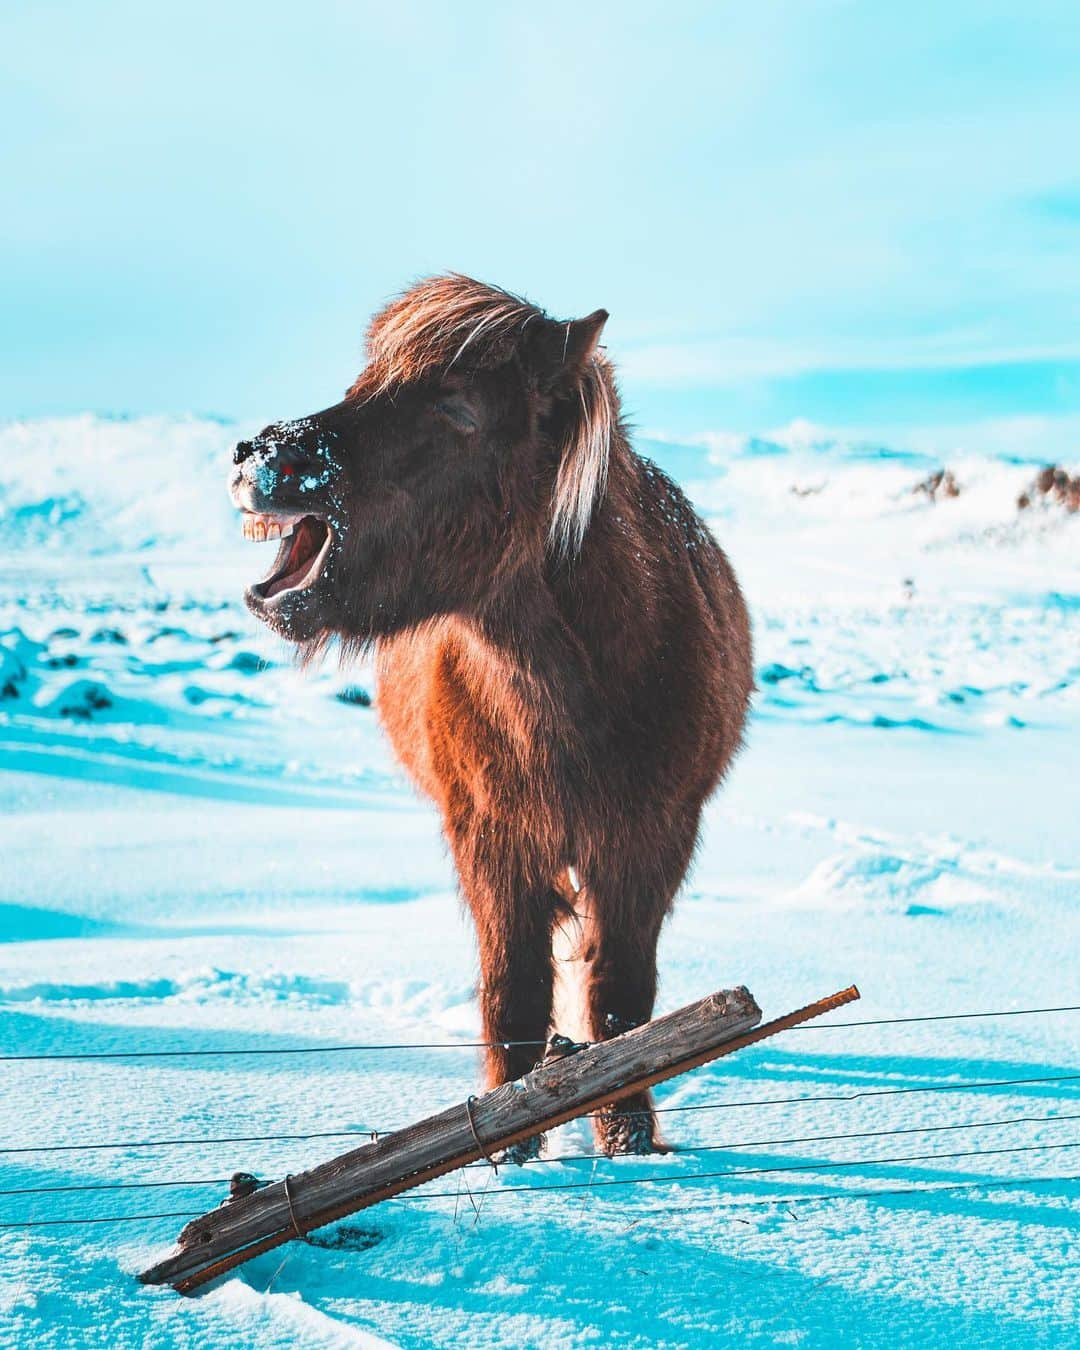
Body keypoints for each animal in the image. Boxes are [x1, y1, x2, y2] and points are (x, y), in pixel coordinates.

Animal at [228, 271, 750, 1150]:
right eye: (365, 380)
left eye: (458, 407)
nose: (261, 458)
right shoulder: (492, 840)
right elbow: (513, 994)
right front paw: (512, 1147)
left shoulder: (649, 840)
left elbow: (621, 999)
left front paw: (628, 1143)